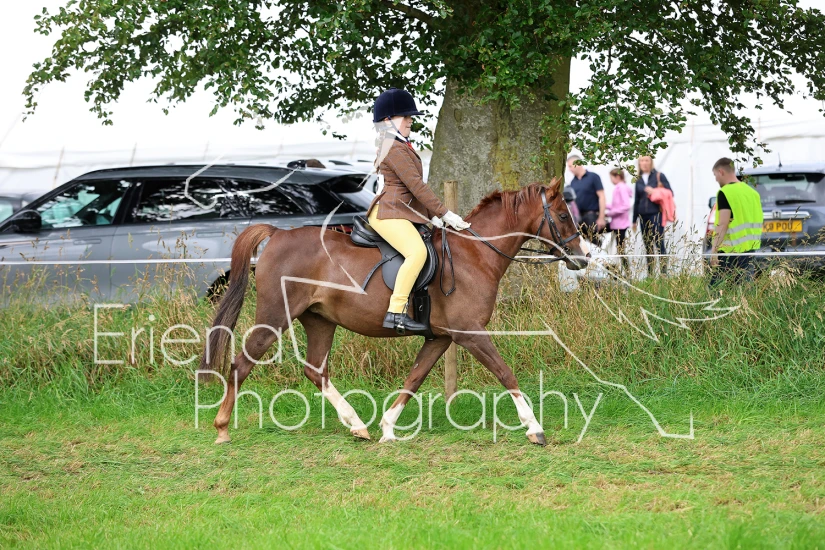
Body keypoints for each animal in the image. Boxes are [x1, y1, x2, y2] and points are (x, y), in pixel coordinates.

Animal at [199, 182, 589, 446]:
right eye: (562, 215)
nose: (583, 258)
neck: (475, 255)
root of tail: (278, 234)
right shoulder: (470, 333)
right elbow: (505, 373)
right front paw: (534, 428)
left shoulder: (441, 338)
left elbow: (414, 379)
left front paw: (387, 427)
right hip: (275, 316)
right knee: (242, 364)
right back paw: (222, 429)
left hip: (320, 320)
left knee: (315, 370)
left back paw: (357, 425)